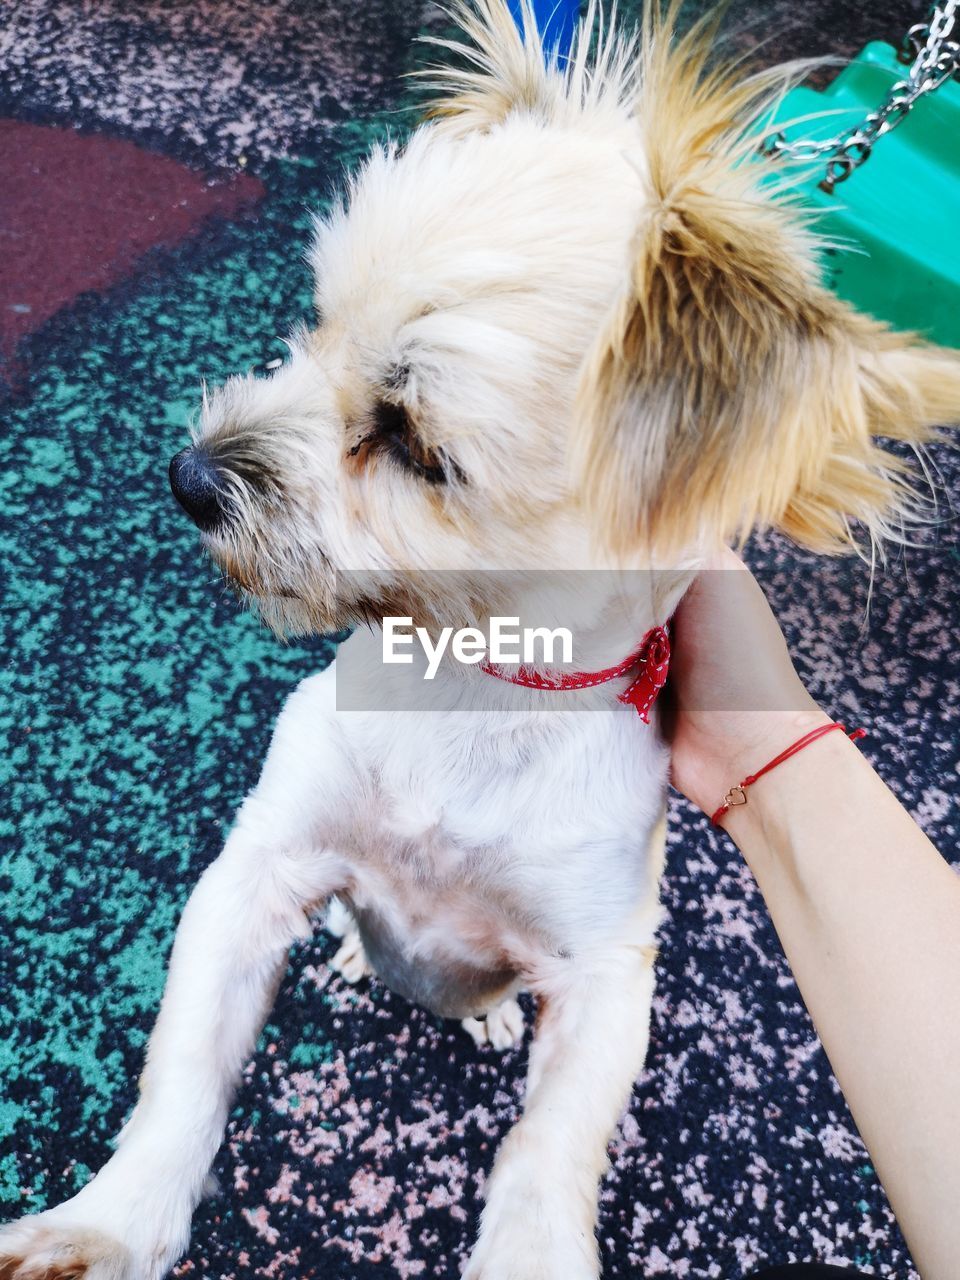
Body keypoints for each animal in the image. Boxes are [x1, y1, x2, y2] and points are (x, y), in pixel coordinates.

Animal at [1, 2, 960, 1280]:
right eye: (311, 329)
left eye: (413, 440)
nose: (190, 476)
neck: (467, 675)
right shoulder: (257, 871)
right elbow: (184, 1079)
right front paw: (104, 1224)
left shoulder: (607, 972)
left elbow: (551, 1154)